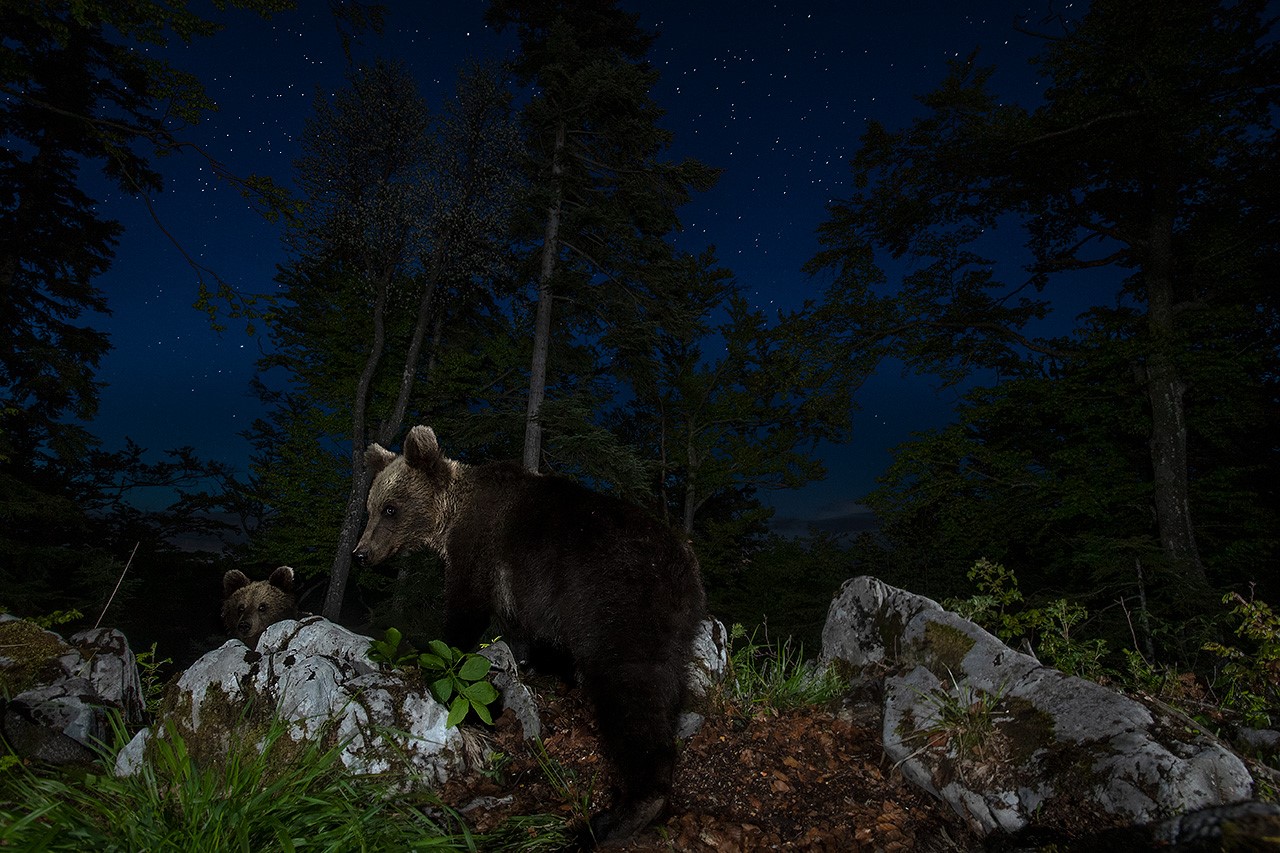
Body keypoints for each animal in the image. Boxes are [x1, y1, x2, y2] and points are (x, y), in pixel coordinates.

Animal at [352, 425, 706, 845]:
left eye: (390, 509)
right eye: (371, 508)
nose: (361, 553)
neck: (451, 517)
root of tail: (683, 563)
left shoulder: (482, 551)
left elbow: (465, 612)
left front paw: (442, 661)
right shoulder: (522, 589)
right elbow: (521, 633)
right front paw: (529, 664)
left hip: (619, 601)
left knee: (631, 688)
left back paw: (621, 816)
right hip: (673, 627)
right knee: (666, 684)